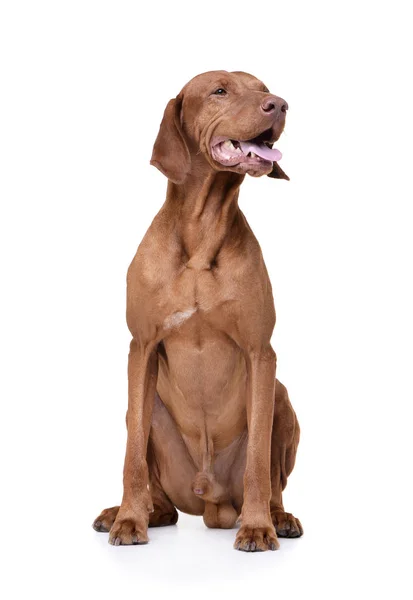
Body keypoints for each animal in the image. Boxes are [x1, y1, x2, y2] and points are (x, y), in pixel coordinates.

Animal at [91, 71, 300, 552]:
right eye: (219, 91)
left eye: (264, 89)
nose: (279, 105)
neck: (203, 233)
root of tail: (211, 499)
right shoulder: (142, 348)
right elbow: (132, 457)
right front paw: (129, 520)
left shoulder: (261, 353)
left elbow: (258, 461)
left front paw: (257, 526)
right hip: (146, 412)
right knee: (162, 498)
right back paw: (133, 512)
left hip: (282, 399)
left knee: (273, 479)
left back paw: (277, 517)